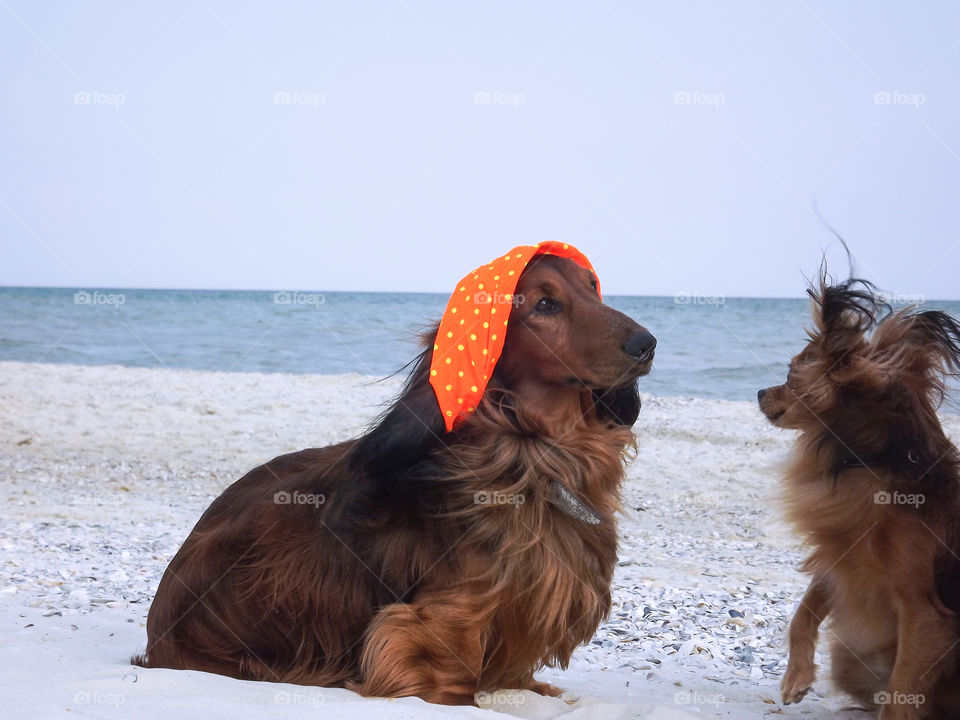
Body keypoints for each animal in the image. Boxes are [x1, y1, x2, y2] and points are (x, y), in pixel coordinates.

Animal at [756, 272, 960, 716]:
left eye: (790, 375)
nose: (760, 391)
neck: (876, 469)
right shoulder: (843, 559)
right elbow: (804, 610)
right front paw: (797, 677)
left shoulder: (926, 617)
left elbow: (902, 695)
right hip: (851, 660)